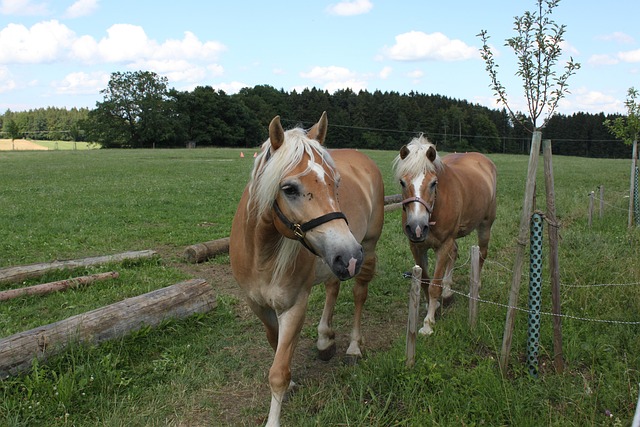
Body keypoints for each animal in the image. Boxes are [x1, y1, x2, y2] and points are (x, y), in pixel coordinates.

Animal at [231, 112, 384, 426]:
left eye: (337, 184)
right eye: (289, 189)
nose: (350, 255)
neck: (261, 254)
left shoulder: (294, 306)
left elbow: (278, 372)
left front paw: (274, 417)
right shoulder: (257, 305)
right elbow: (275, 344)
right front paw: (291, 383)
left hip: (367, 249)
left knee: (359, 294)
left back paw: (353, 347)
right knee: (332, 288)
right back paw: (325, 340)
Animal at [392, 137, 498, 338]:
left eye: (434, 183)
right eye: (402, 182)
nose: (417, 227)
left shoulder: (443, 244)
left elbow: (434, 285)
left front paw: (428, 323)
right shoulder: (416, 246)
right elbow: (425, 282)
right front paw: (434, 306)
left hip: (485, 226)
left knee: (481, 255)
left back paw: (476, 290)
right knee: (455, 253)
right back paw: (448, 291)